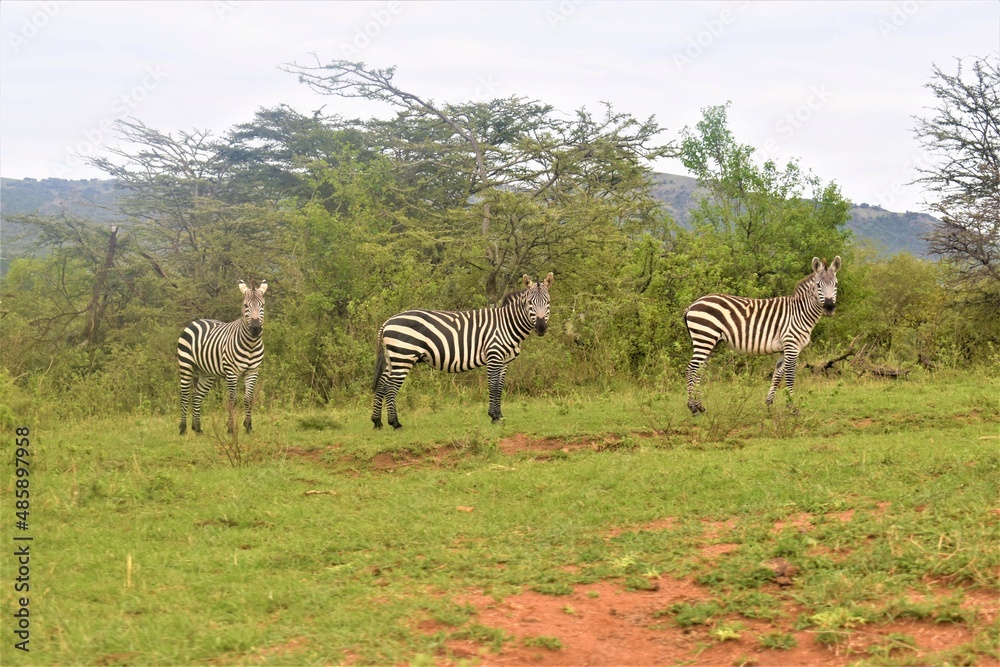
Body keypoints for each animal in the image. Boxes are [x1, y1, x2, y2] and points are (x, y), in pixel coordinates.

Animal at [178, 279, 269, 435]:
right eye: (245, 305)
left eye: (262, 305)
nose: (256, 328)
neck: (251, 345)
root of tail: (196, 321)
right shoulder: (232, 372)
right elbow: (232, 400)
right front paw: (231, 428)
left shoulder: (252, 372)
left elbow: (248, 399)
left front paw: (248, 426)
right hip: (186, 366)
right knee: (185, 396)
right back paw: (183, 428)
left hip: (207, 373)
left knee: (196, 396)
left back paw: (197, 428)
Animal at [371, 273, 554, 429]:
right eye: (530, 303)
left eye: (548, 302)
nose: (541, 328)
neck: (507, 324)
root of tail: (387, 322)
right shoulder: (494, 355)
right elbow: (494, 385)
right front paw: (494, 416)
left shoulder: (505, 361)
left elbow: (500, 386)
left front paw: (499, 415)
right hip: (403, 357)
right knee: (390, 387)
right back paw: (395, 423)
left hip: (393, 359)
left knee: (382, 385)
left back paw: (377, 422)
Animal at [684, 256, 842, 415]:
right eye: (818, 285)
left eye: (835, 284)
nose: (829, 307)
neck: (800, 312)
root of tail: (693, 304)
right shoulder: (792, 346)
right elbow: (790, 376)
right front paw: (792, 407)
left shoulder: (784, 349)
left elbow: (777, 375)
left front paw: (769, 403)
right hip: (704, 338)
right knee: (691, 369)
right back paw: (693, 408)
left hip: (712, 342)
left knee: (699, 370)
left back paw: (701, 407)